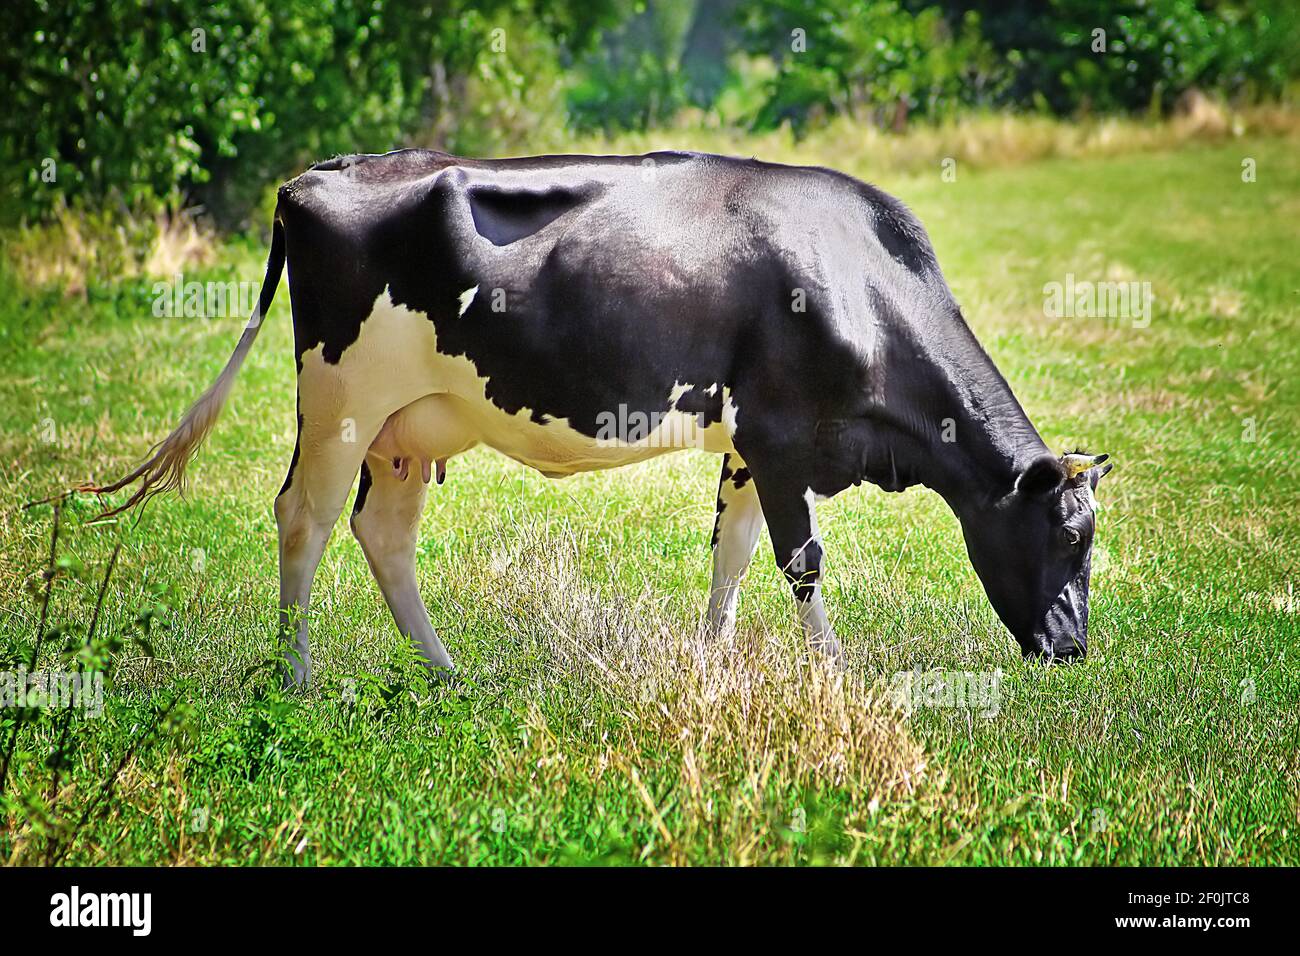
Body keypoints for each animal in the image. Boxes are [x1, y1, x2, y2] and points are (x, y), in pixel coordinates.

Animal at [94, 148, 1112, 688]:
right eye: (1069, 537)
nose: (1072, 650)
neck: (860, 283)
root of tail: (321, 175)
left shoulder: (749, 444)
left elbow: (733, 553)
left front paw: (711, 666)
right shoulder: (784, 438)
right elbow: (802, 560)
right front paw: (835, 673)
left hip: (408, 427)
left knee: (383, 535)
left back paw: (447, 673)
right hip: (342, 401)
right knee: (302, 520)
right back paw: (298, 680)